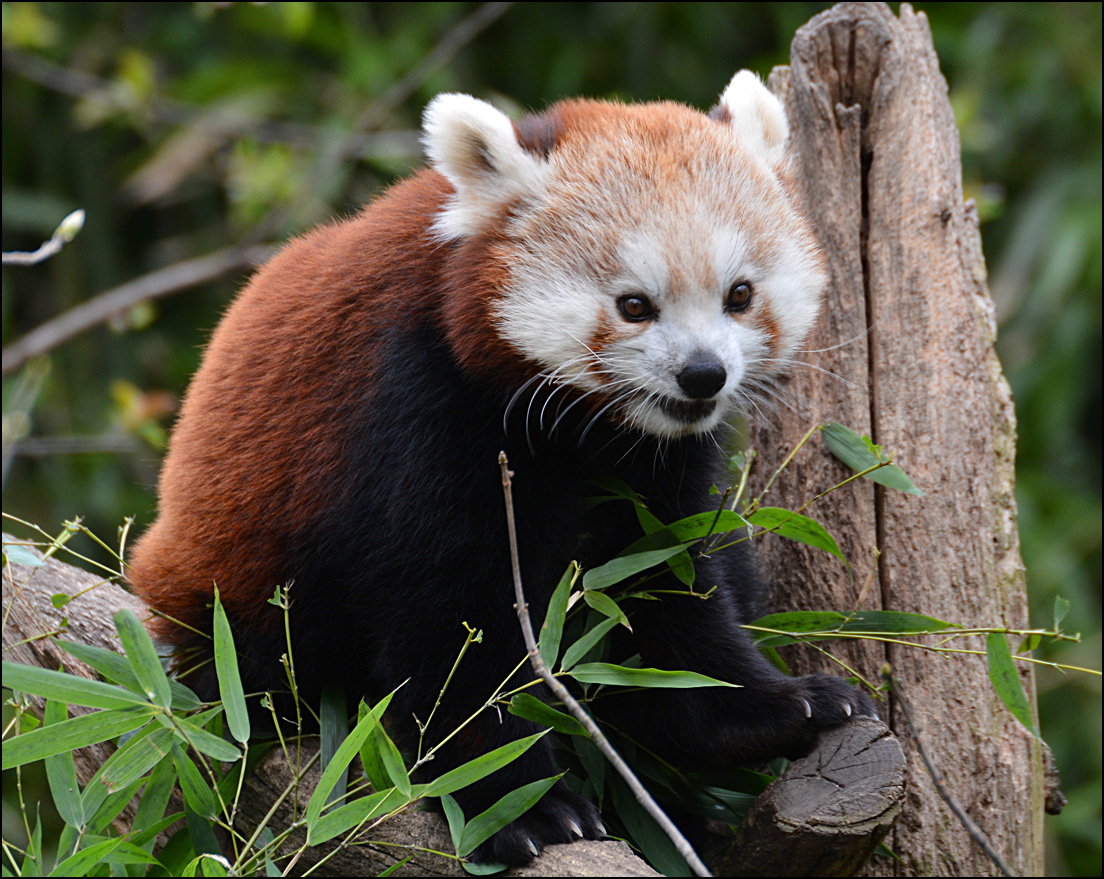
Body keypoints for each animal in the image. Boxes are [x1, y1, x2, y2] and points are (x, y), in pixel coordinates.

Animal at [126, 73, 869, 865]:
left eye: (740, 294)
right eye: (634, 305)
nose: (702, 374)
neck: (586, 435)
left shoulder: (657, 468)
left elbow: (662, 594)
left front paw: (782, 705)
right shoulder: (420, 407)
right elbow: (448, 623)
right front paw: (521, 801)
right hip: (232, 612)